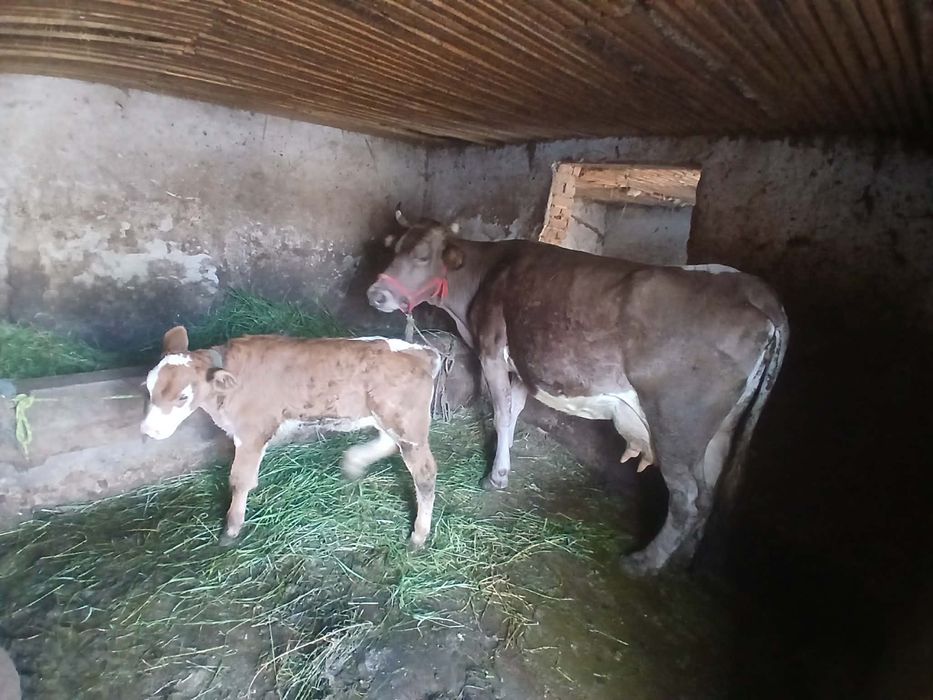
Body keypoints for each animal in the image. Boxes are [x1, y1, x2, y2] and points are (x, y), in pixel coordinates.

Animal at [140, 326, 442, 548]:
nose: (147, 430)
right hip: (384, 417)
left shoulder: (252, 431)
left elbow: (239, 480)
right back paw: (354, 463)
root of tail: (421, 351)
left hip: (408, 424)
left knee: (425, 473)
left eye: (183, 396)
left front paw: (231, 529)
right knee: (387, 443)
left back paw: (419, 535)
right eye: (148, 388)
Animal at [366, 208, 788, 573]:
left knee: (688, 498)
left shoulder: (491, 350)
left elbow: (501, 412)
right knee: (709, 493)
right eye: (394, 249)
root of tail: (753, 290)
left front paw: (494, 476)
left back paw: (644, 562)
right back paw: (683, 561)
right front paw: (505, 460)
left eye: (422, 256)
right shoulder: (522, 365)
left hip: (677, 425)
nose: (375, 295)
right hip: (721, 429)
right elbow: (514, 411)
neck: (483, 279)